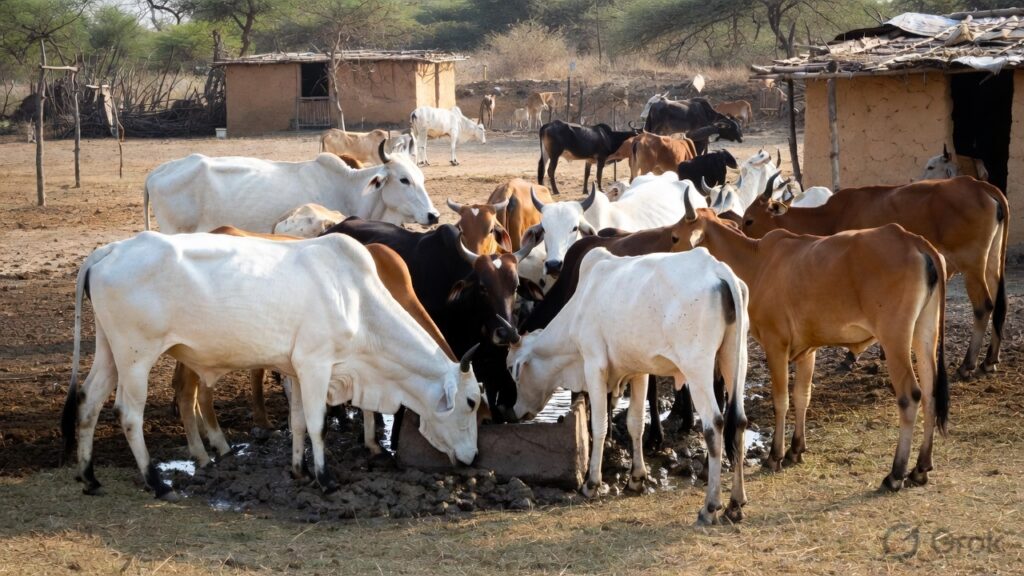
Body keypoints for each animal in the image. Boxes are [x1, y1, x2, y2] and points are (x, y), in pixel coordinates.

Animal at [61, 232, 483, 500]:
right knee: (128, 413)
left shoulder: (295, 369)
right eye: (472, 402)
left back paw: (89, 477)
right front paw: (325, 479)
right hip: (136, 356)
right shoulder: (315, 365)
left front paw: (299, 470)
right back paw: (156, 482)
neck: (356, 299)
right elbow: (317, 424)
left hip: (110, 352)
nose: (474, 457)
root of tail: (111, 250)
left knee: (89, 402)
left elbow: (297, 422)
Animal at [509, 247, 750, 525]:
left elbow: (599, 425)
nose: (514, 412)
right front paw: (636, 479)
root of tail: (717, 269)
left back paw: (710, 507)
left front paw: (591, 484)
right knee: (739, 421)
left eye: (512, 370)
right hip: (735, 359)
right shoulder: (639, 371)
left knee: (715, 424)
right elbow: (635, 422)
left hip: (697, 366)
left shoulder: (594, 364)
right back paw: (735, 503)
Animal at [670, 195, 950, 492]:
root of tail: (911, 239)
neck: (757, 262)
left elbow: (780, 399)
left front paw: (775, 455)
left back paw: (895, 474)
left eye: (675, 236)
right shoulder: (808, 350)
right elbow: (802, 396)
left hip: (895, 337)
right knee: (931, 392)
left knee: (910, 396)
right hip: (924, 332)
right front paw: (795, 450)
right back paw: (920, 468)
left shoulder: (776, 344)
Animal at [742, 174, 1008, 379]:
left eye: (749, 220)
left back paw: (967, 364)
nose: (744, 239)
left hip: (972, 265)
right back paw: (989, 361)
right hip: (992, 262)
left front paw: (851, 357)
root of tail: (979, 185)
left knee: (984, 306)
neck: (831, 216)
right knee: (1000, 304)